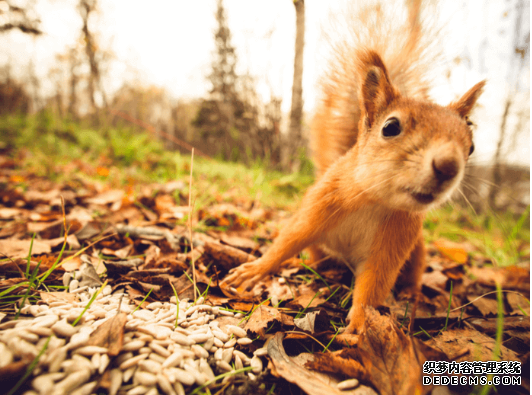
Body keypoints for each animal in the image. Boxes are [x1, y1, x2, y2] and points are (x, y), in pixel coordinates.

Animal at [220, 0, 482, 334]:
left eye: (471, 146)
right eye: (390, 127)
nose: (448, 166)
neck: (373, 200)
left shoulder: (395, 240)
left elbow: (374, 283)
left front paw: (360, 324)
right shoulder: (320, 205)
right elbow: (287, 240)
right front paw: (254, 270)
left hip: (418, 249)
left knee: (413, 271)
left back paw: (411, 292)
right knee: (315, 254)